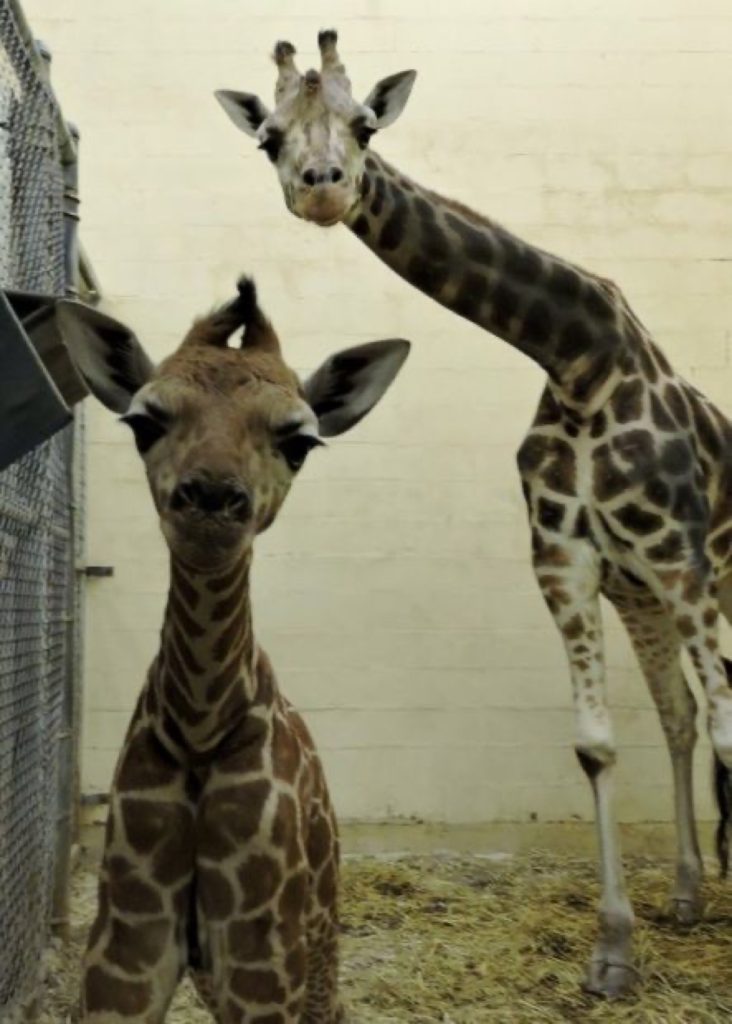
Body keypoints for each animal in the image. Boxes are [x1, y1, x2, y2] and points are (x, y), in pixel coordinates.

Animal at [55, 276, 411, 1019]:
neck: (198, 729)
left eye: (299, 441)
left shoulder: (263, 955)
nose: (212, 502)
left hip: (314, 956)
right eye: (144, 422)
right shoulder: (125, 948)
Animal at [218, 29, 732, 991]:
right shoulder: (572, 563)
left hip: (702, 579)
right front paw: (614, 951)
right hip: (643, 592)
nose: (323, 186)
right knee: (680, 715)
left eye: (365, 124)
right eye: (268, 138)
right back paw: (688, 895)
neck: (578, 358)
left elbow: (730, 731)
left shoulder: (681, 558)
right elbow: (602, 744)